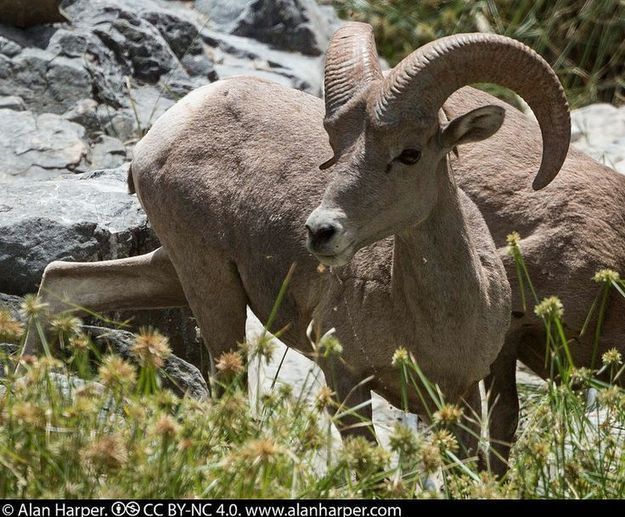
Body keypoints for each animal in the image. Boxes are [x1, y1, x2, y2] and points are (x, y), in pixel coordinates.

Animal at [28, 23, 576, 468]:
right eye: (336, 148)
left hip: (176, 271)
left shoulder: (459, 399)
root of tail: (157, 138)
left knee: (63, 285)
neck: (436, 322)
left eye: (410, 154)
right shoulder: (345, 381)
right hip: (212, 291)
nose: (320, 231)